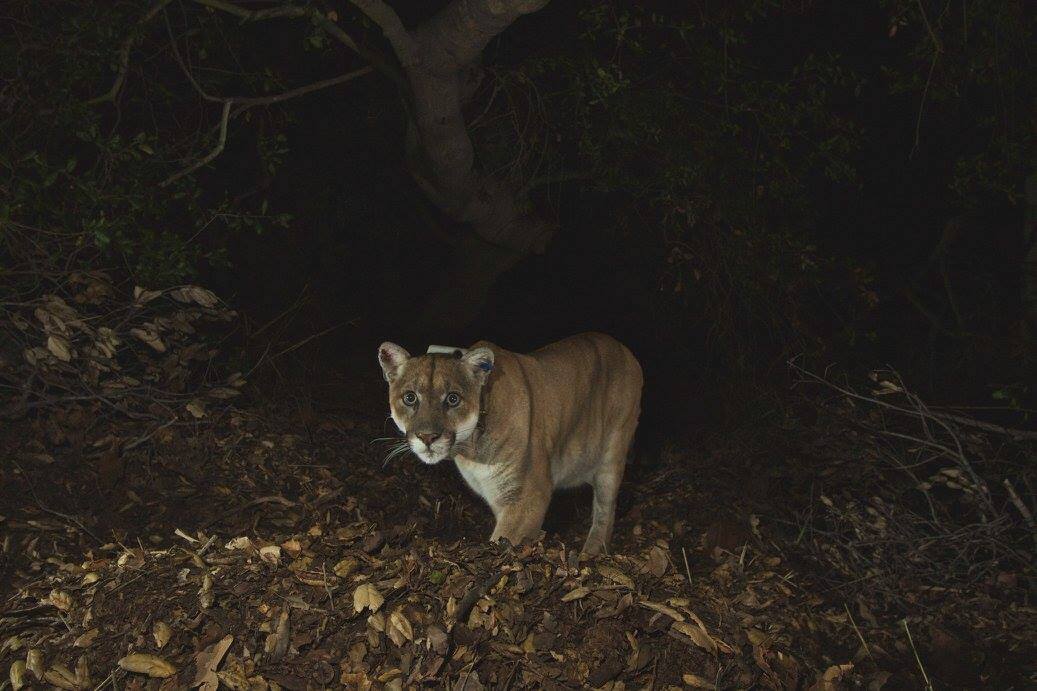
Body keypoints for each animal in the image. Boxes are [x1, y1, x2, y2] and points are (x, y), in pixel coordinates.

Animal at [377, 332, 642, 556]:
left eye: (453, 399)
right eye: (410, 397)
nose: (427, 437)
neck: (471, 449)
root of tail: (623, 348)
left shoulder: (528, 497)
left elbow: (504, 540)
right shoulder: (497, 495)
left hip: (612, 454)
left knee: (605, 510)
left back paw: (591, 552)